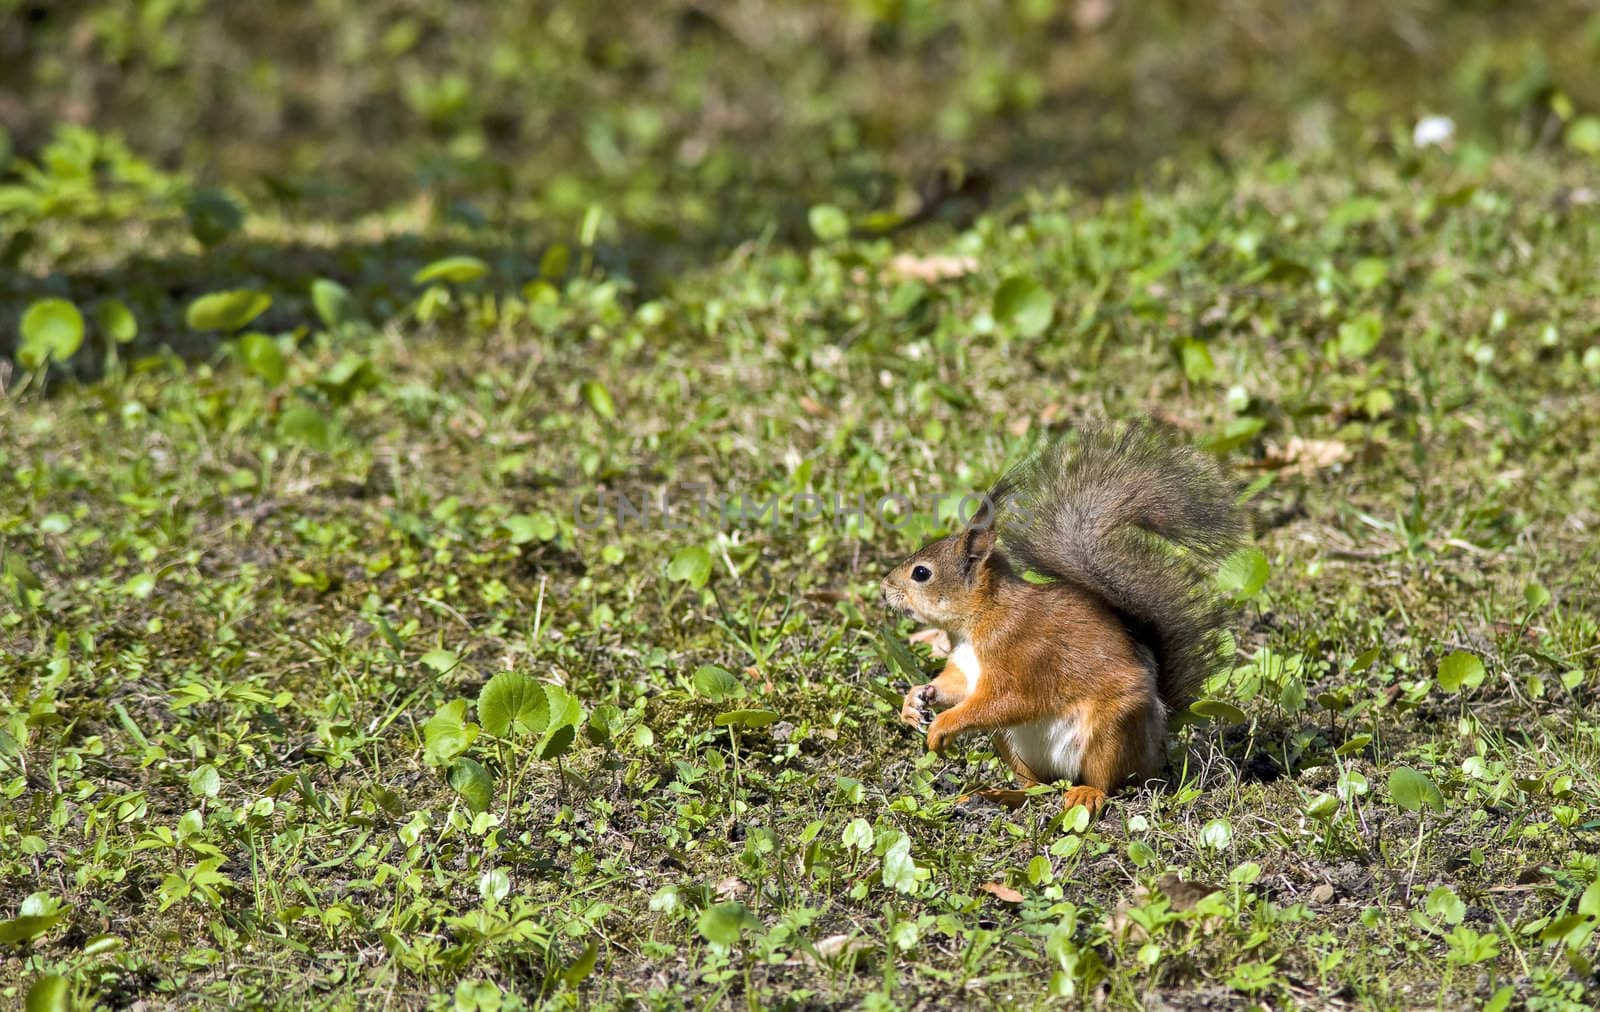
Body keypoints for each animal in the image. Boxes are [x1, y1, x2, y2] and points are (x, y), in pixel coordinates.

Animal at [883, 419, 1241, 813]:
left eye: (921, 573)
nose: (884, 589)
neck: (979, 621)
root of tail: (1157, 744)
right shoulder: (966, 668)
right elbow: (955, 687)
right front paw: (916, 700)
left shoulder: (1024, 656)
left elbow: (1007, 701)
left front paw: (944, 724)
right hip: (1015, 746)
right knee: (1035, 786)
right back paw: (999, 793)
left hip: (1111, 731)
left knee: (1107, 781)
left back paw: (1086, 793)